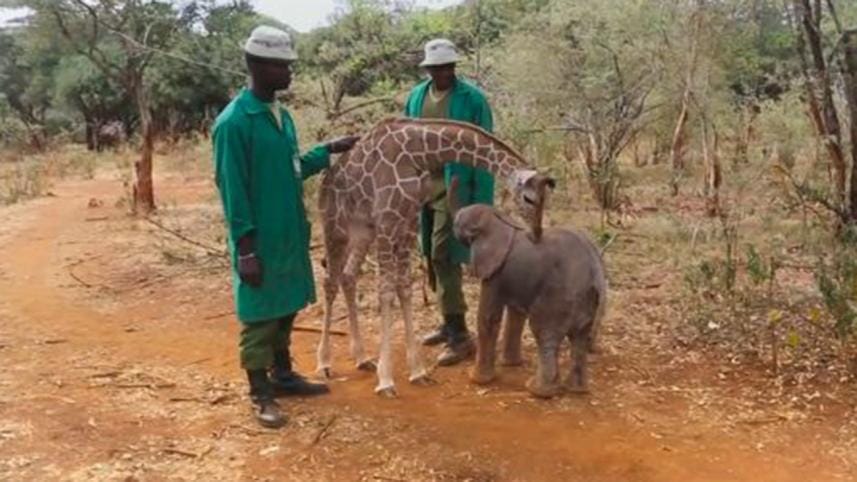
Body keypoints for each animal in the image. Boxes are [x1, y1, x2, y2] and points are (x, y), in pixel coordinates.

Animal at [451, 202, 607, 398]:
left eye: (460, 222)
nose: (454, 216)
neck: (499, 219)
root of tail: (596, 269)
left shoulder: (494, 271)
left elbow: (488, 317)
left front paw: (476, 379)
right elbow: (516, 314)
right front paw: (510, 364)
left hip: (560, 296)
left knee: (543, 331)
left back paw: (538, 391)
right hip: (587, 299)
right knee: (579, 338)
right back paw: (577, 389)